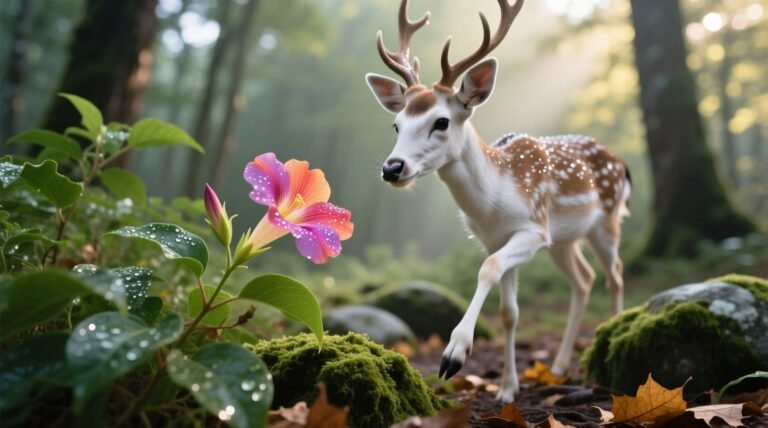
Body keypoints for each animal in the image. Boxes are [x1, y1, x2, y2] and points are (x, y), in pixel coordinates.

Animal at [364, 0, 631, 402]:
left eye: (441, 121)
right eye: (397, 124)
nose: (392, 168)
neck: (493, 204)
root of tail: (622, 163)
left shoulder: (533, 230)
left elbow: (487, 269)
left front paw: (455, 354)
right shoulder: (498, 239)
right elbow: (510, 312)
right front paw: (507, 389)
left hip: (606, 221)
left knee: (614, 277)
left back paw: (608, 346)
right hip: (563, 240)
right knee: (584, 280)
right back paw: (558, 366)